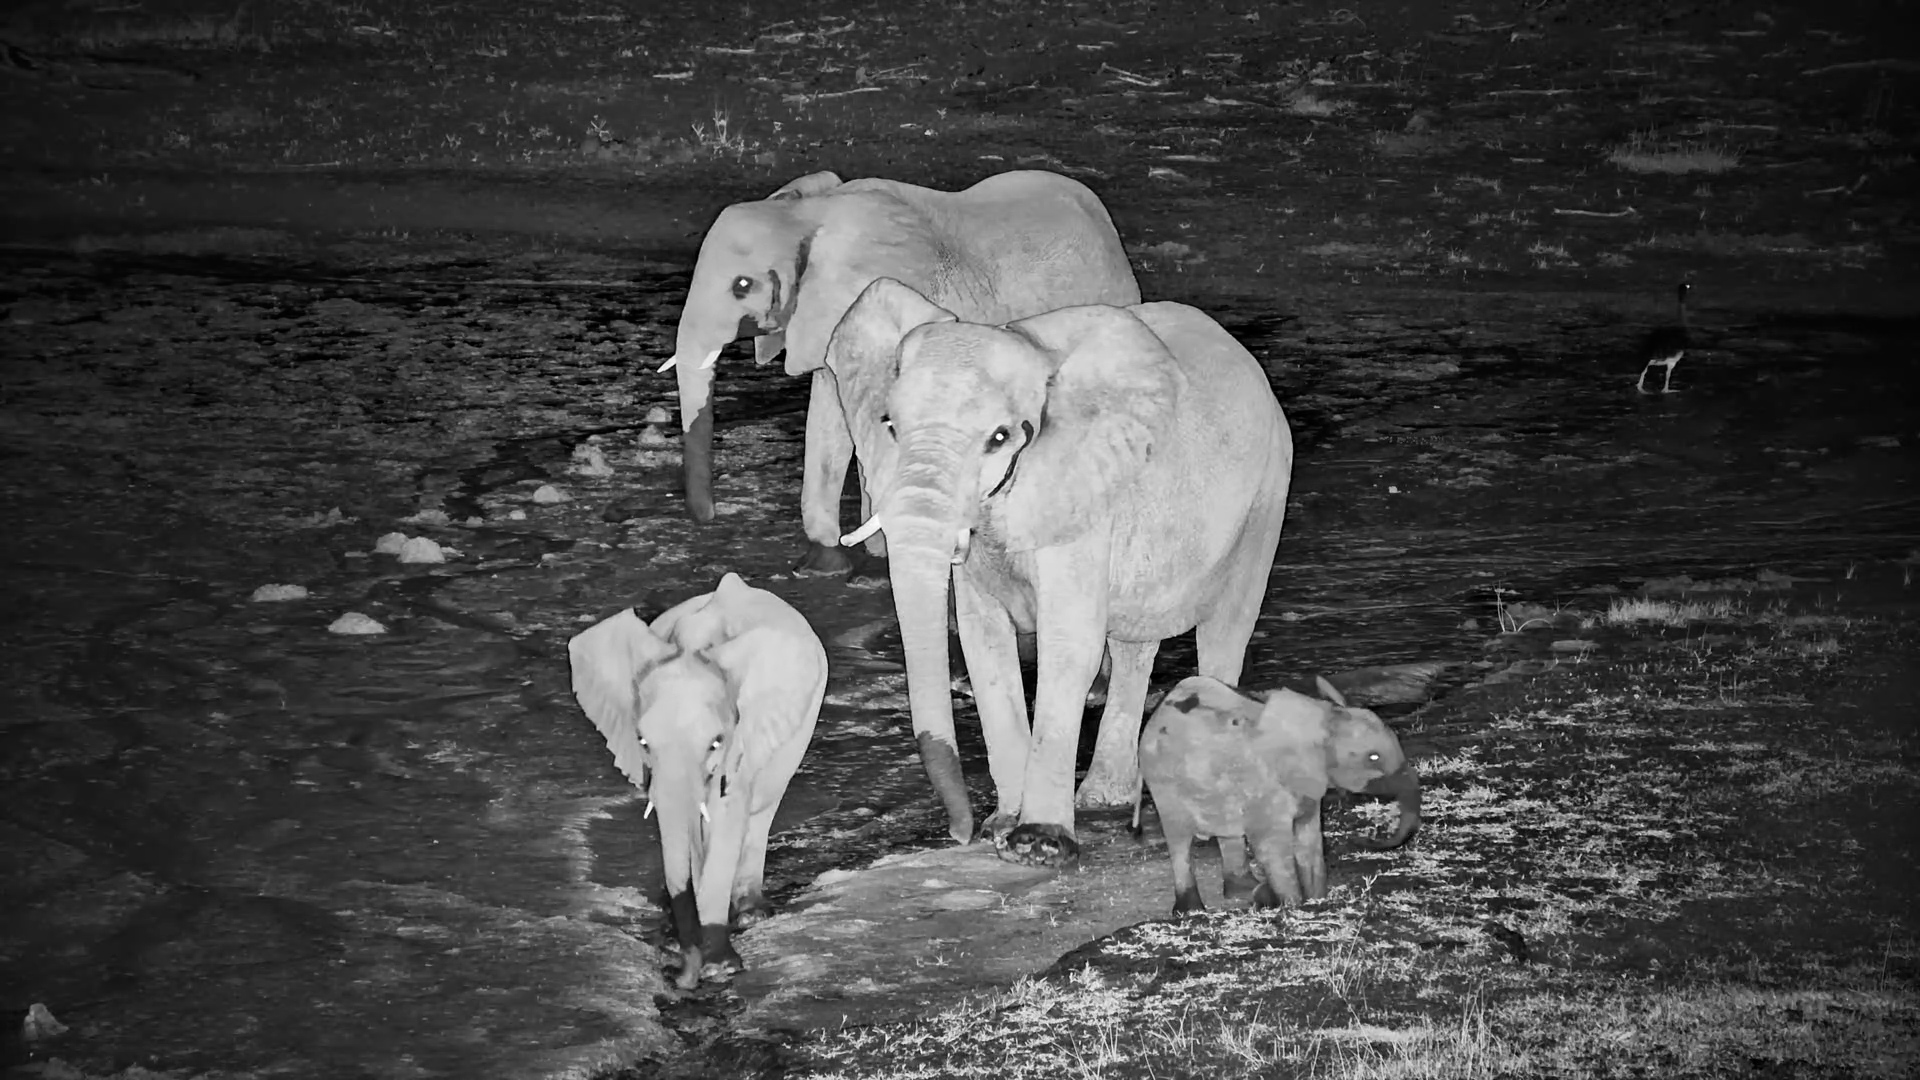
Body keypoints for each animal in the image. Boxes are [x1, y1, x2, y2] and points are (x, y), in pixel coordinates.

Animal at [567, 572, 827, 989]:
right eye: (642, 742)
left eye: (715, 742)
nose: (677, 976)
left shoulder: (742, 739)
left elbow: (726, 818)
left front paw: (720, 967)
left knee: (761, 813)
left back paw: (752, 913)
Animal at [825, 278, 1294, 867]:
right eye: (889, 425)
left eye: (1000, 438)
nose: (960, 833)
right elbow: (985, 641)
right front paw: (1004, 828)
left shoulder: (1080, 488)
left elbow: (1069, 643)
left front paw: (1039, 846)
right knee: (1133, 647)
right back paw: (1101, 801)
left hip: (1266, 492)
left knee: (1225, 633)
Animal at [1135, 674, 1422, 914]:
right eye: (1374, 757)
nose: (1365, 840)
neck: (1320, 718)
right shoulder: (1265, 784)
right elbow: (1272, 847)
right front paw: (1293, 905)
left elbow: (1309, 843)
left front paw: (1316, 900)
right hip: (1164, 784)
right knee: (1179, 840)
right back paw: (1191, 911)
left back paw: (1245, 890)